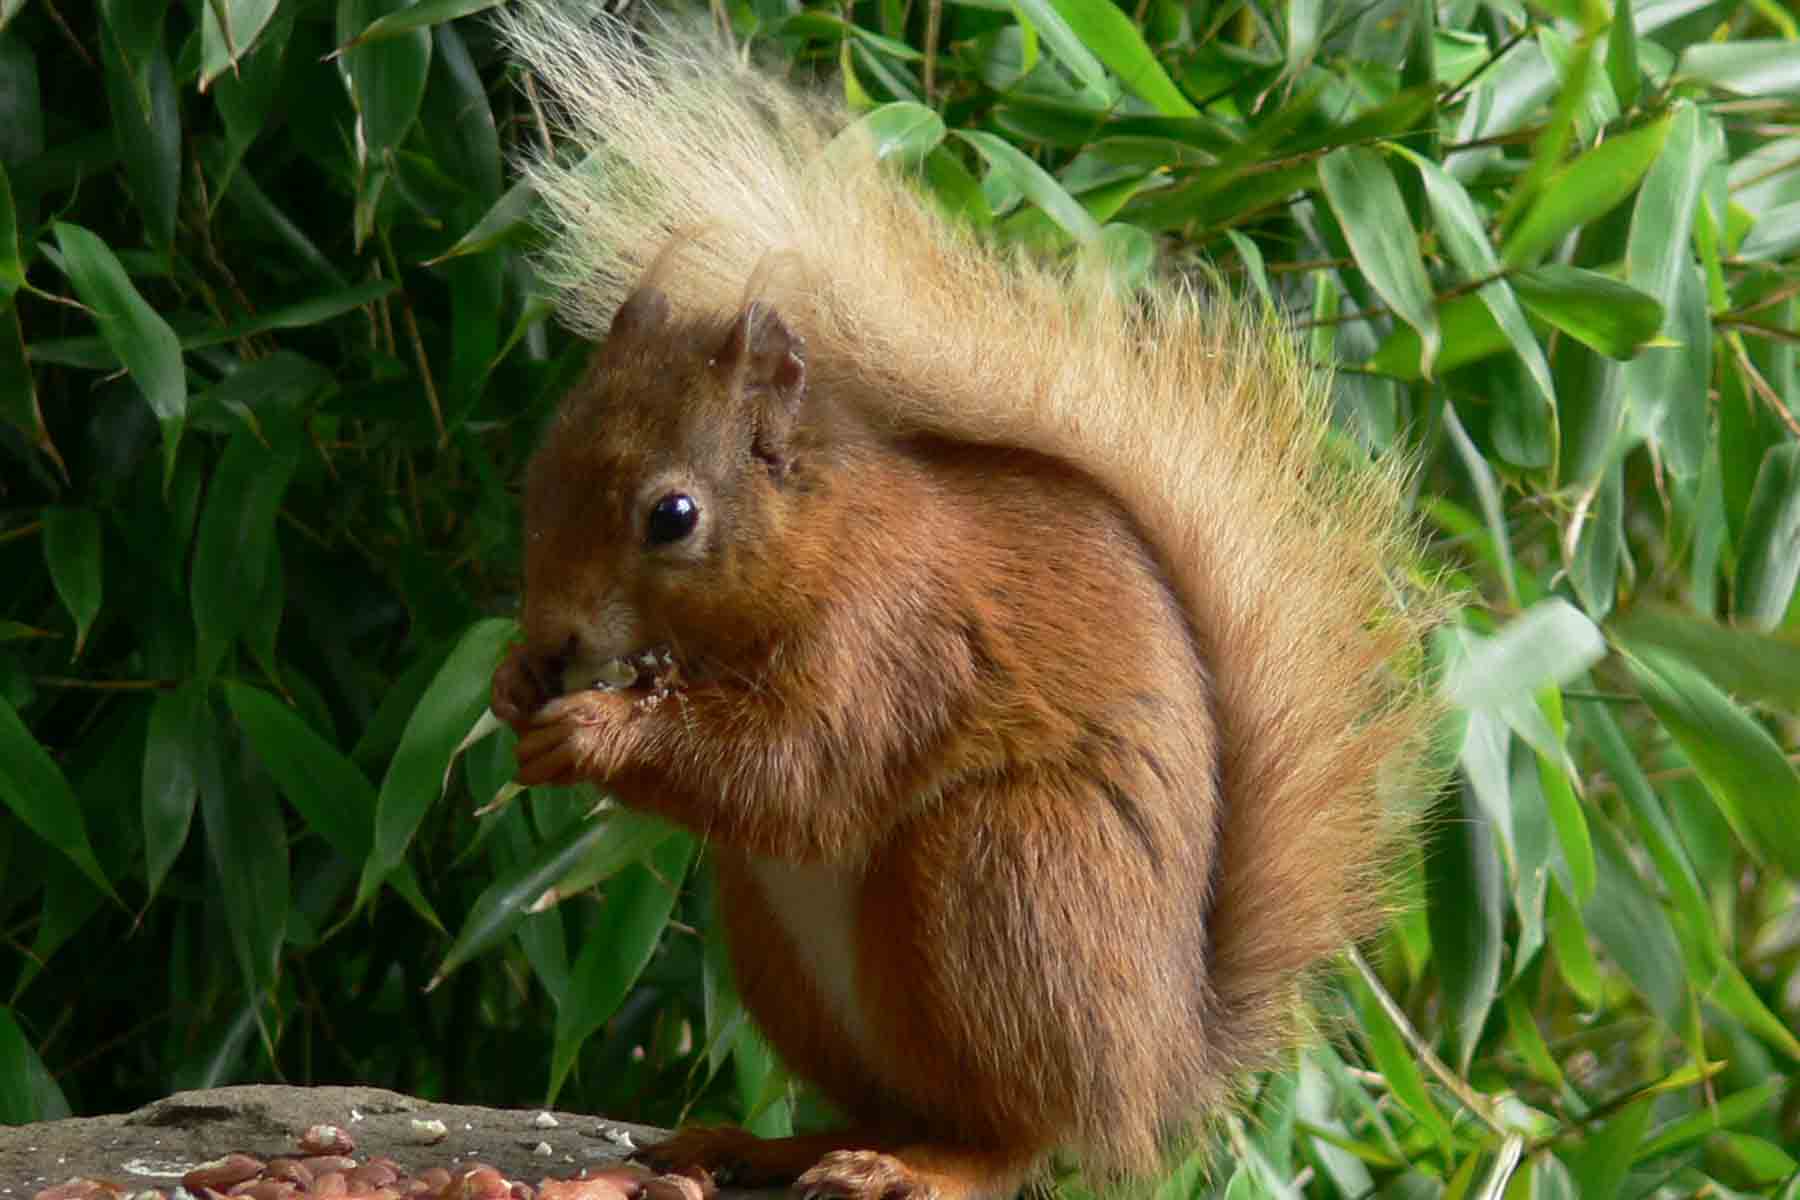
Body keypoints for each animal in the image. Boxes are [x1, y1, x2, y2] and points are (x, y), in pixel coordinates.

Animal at [486, 9, 1440, 1200]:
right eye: (538, 471)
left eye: (673, 515)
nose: (556, 636)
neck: (821, 543)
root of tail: (1159, 1073)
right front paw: (513, 684)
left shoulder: (894, 637)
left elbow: (801, 769)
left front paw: (592, 731)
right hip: (784, 948)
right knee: (893, 1103)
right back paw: (763, 1145)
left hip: (1001, 881)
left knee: (1015, 1133)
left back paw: (918, 1169)